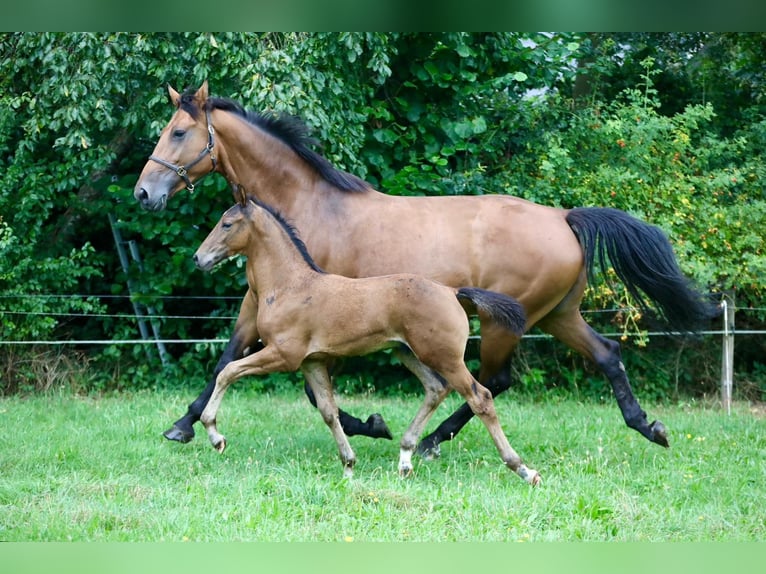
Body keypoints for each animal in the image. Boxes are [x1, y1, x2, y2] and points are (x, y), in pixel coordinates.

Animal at [194, 195, 540, 486]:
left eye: (227, 223)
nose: (199, 258)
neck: (290, 285)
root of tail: (452, 292)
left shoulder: (282, 355)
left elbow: (228, 372)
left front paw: (215, 435)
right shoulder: (312, 362)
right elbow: (328, 411)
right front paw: (349, 464)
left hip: (444, 357)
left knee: (480, 397)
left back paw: (523, 469)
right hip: (408, 352)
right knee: (435, 388)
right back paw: (405, 459)